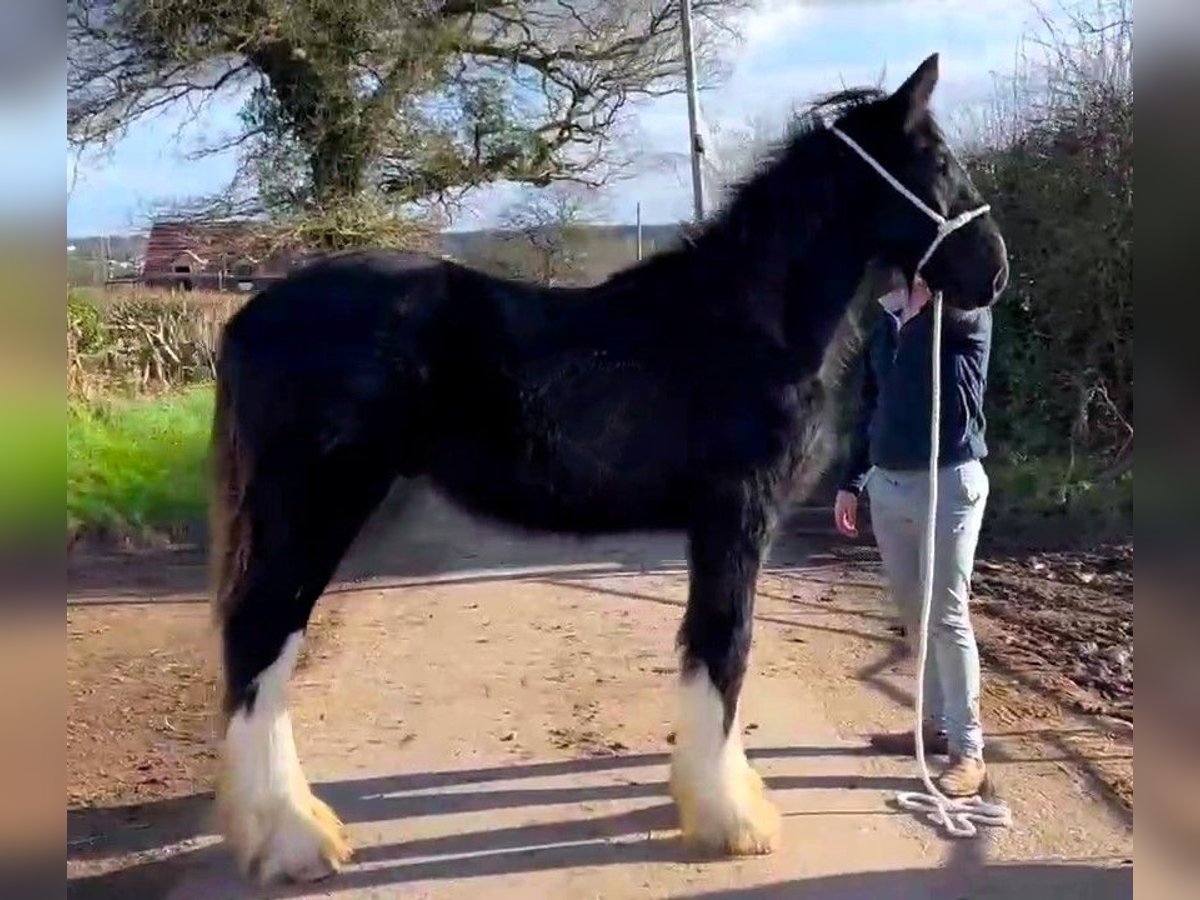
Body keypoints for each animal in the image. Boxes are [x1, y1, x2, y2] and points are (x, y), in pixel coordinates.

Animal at [211, 56, 1008, 888]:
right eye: (938, 159)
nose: (993, 273)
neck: (745, 321)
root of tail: (247, 317)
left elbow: (712, 649)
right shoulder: (736, 515)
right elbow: (724, 647)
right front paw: (731, 819)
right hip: (316, 504)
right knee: (260, 638)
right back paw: (295, 840)